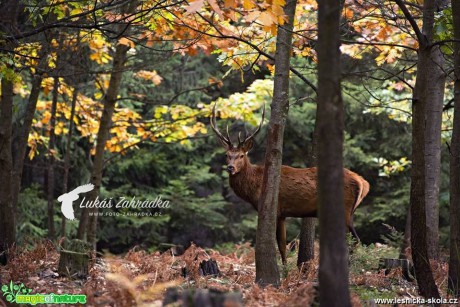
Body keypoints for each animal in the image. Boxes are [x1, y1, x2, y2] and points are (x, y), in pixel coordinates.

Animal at [212, 103, 370, 264]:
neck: (255, 186)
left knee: (355, 240)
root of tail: (363, 182)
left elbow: (280, 243)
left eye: (241, 155)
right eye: (227, 155)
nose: (230, 167)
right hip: (350, 212)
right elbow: (283, 245)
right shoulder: (282, 214)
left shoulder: (275, 209)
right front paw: (285, 268)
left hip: (345, 209)